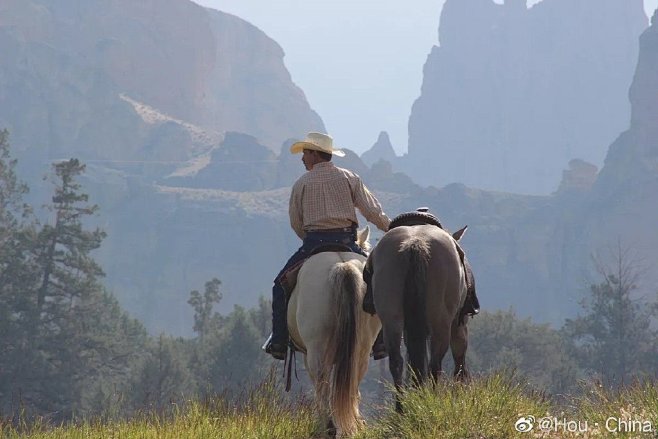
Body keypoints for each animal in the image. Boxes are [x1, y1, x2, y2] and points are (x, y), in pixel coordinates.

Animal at [286, 229, 380, 438]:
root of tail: (343, 266)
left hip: (316, 348)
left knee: (322, 383)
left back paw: (328, 426)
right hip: (362, 346)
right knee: (353, 380)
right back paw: (354, 424)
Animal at [364, 223, 466, 412]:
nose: (366, 304)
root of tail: (415, 243)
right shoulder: (458, 323)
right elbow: (459, 356)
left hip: (392, 321)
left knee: (397, 361)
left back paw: (401, 407)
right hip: (441, 324)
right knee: (434, 364)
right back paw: (432, 400)